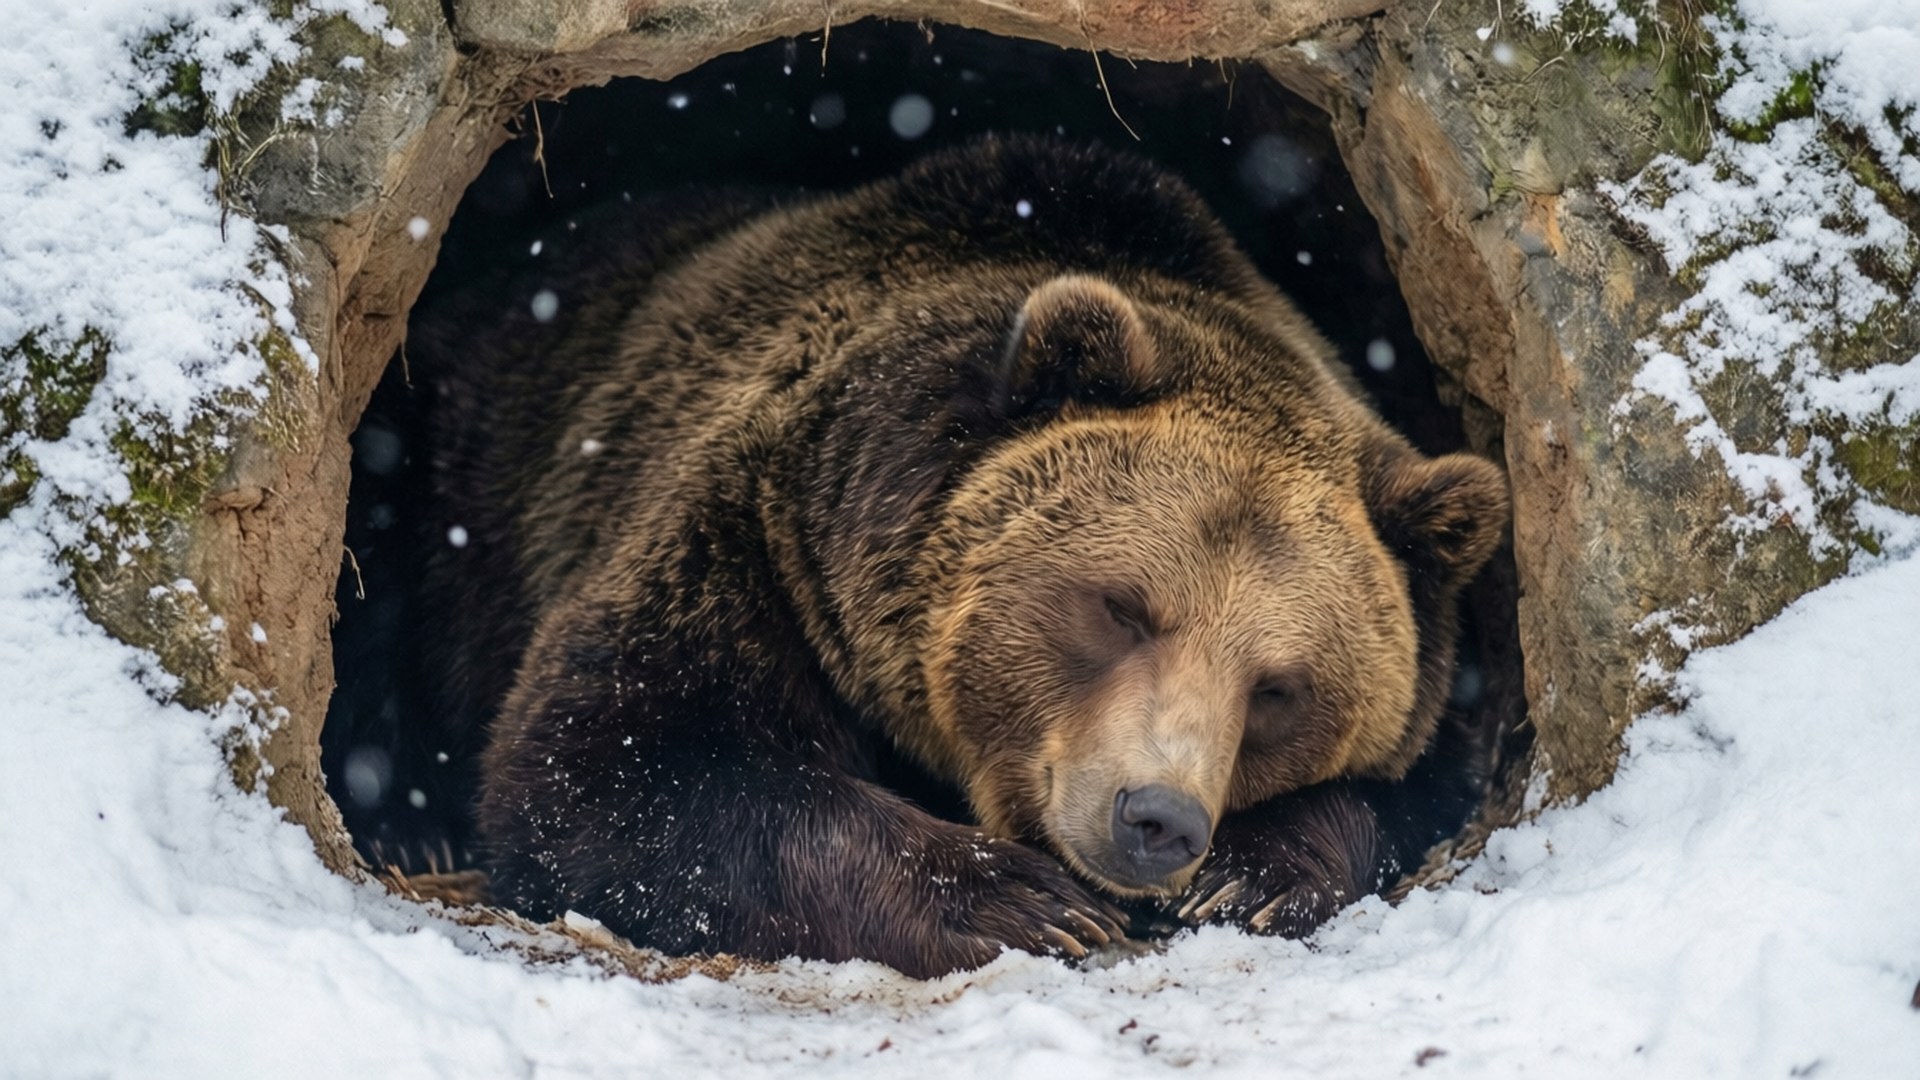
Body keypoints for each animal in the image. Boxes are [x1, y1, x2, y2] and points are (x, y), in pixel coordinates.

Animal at [402, 136, 1509, 978]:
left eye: (1279, 688)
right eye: (1121, 609)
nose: (1157, 819)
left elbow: (1413, 783)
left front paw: (1255, 872)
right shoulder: (754, 540)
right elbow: (612, 762)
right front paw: (1017, 901)